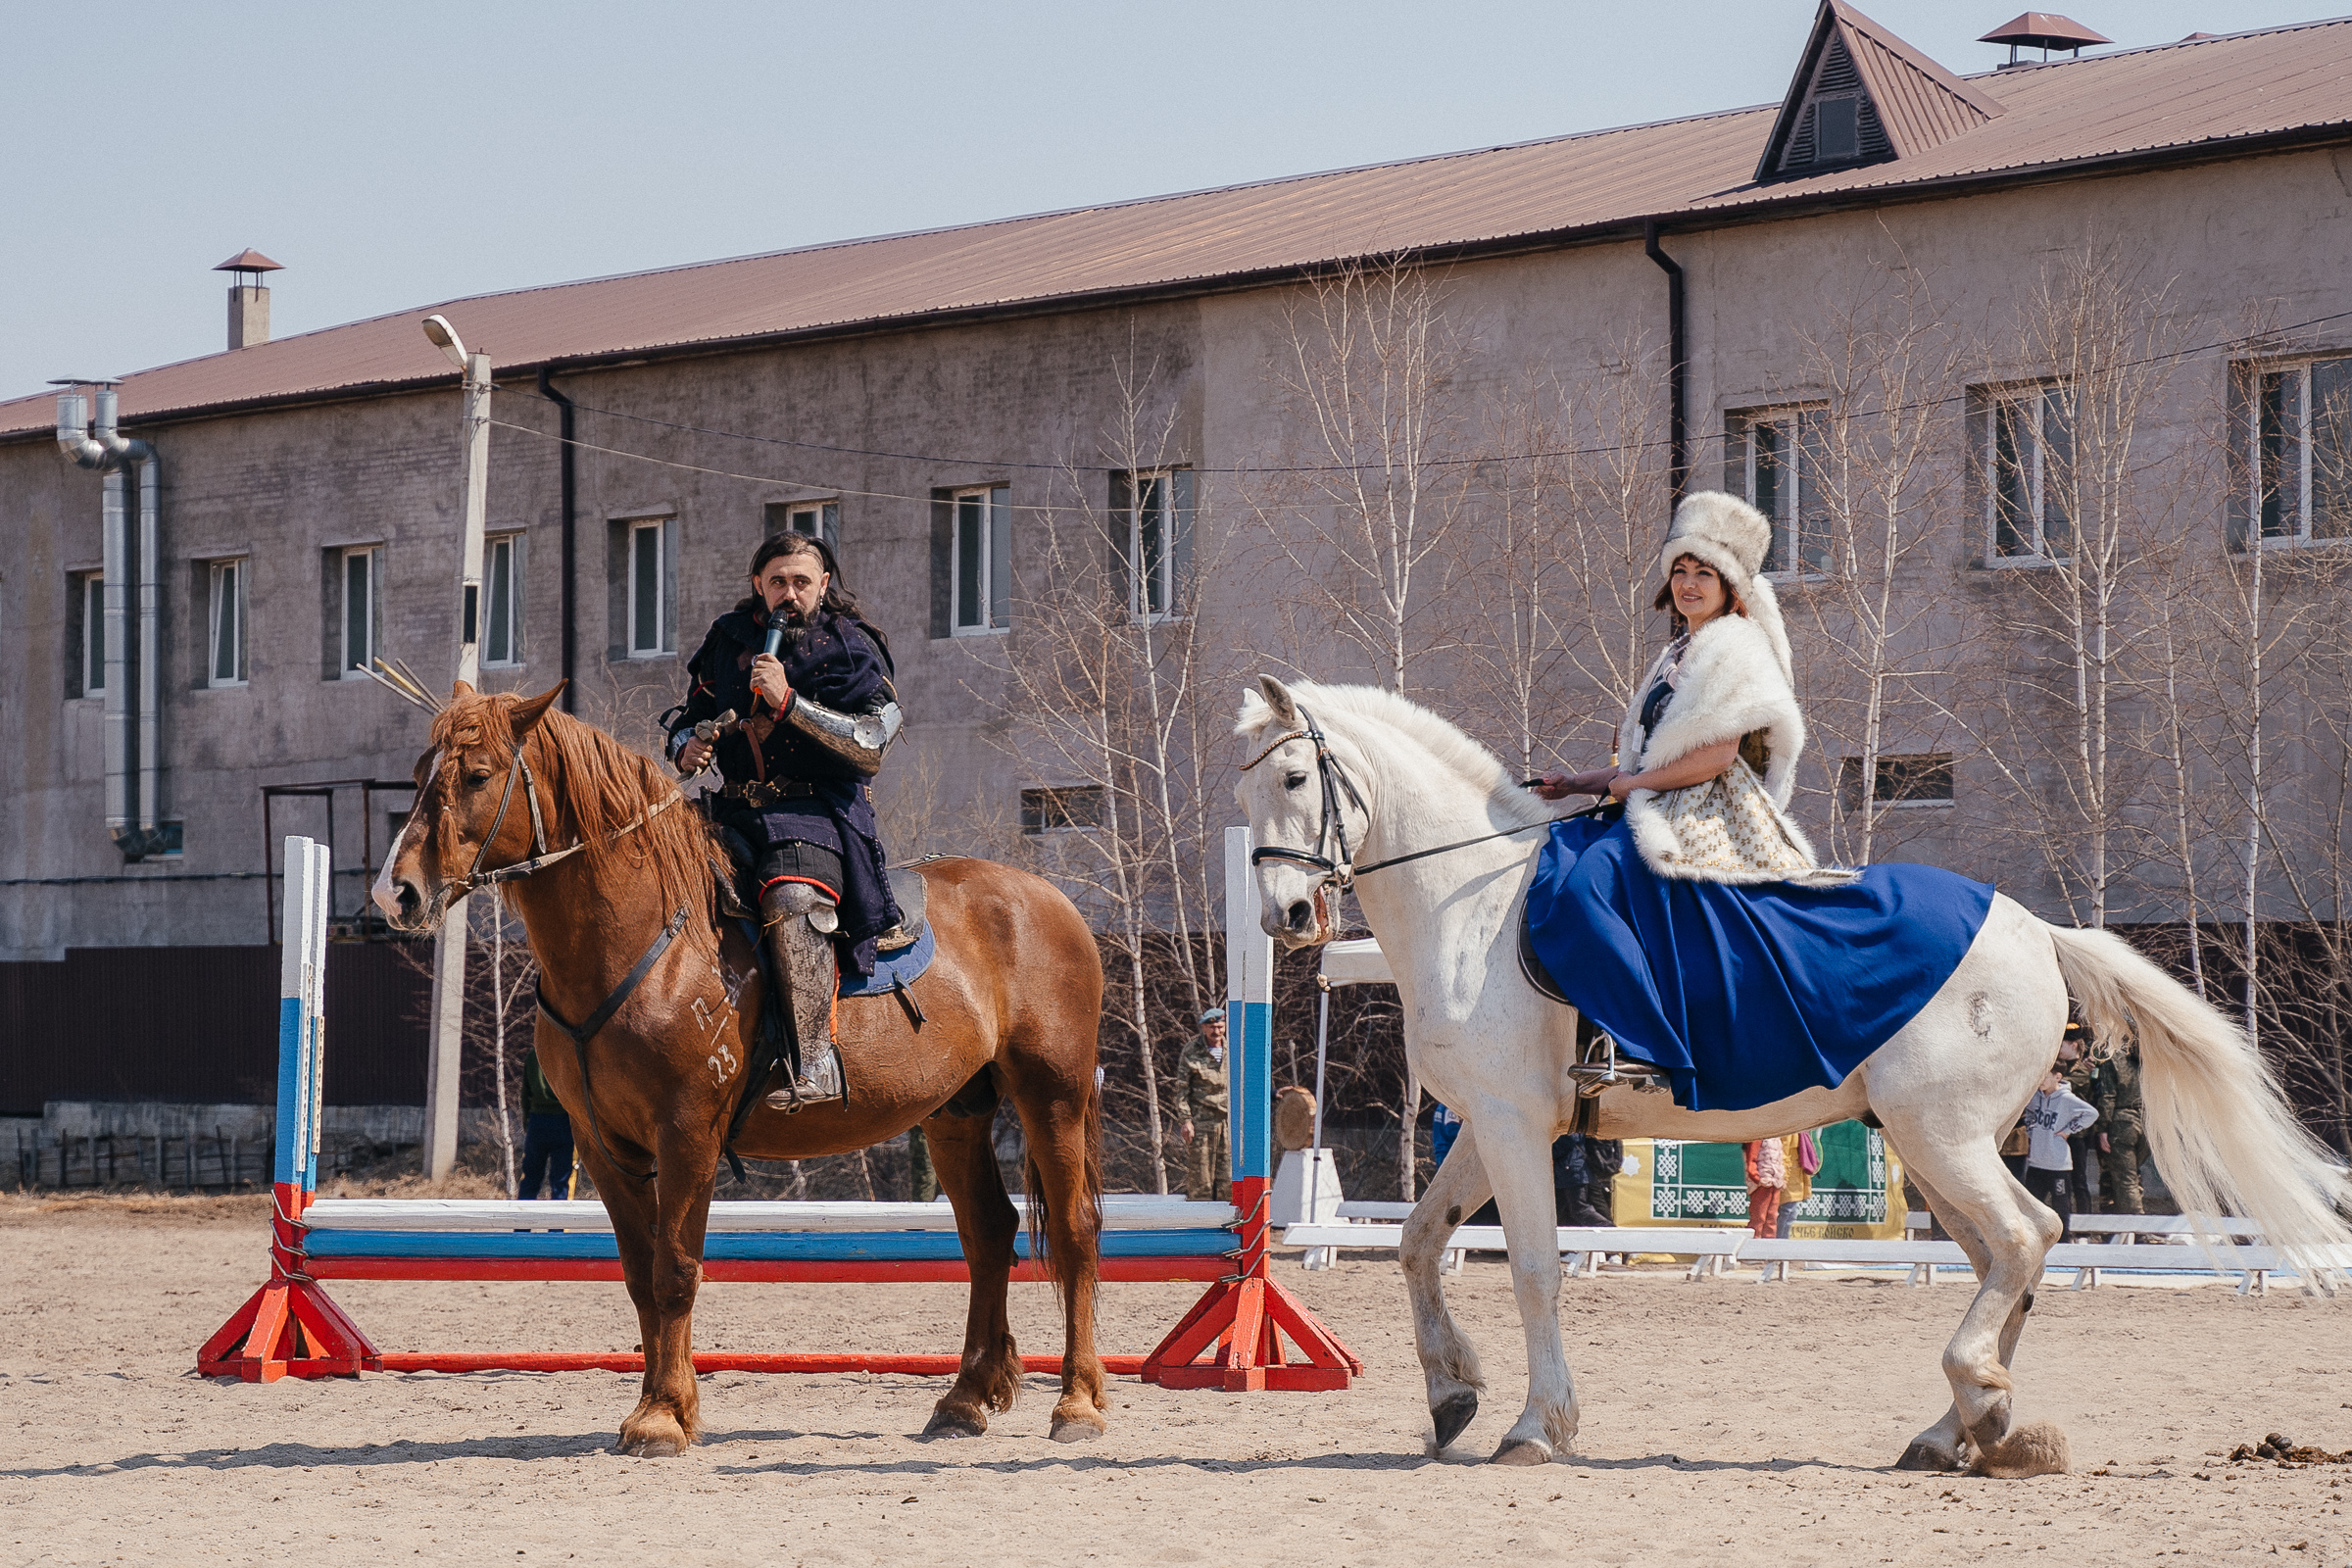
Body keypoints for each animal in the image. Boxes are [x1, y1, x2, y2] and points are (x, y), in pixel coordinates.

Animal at [371, 686, 1105, 1457]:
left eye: (478, 774)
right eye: (419, 774)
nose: (398, 894)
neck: (648, 937)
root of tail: (1048, 900)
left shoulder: (687, 1135)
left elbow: (674, 1271)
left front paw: (663, 1415)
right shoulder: (604, 1148)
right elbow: (640, 1276)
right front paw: (662, 1404)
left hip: (1052, 1097)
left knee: (1076, 1230)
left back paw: (1079, 1402)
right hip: (956, 1114)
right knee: (990, 1235)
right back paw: (964, 1398)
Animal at [1232, 681, 2352, 1476]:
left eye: (1293, 782)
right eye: (1247, 791)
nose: (1283, 918)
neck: (1472, 901)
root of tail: (2034, 926)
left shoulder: (1514, 1126)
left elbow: (1536, 1270)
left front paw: (1537, 1424)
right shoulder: (1489, 1122)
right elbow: (1420, 1242)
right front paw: (1449, 1396)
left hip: (1939, 1132)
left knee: (2026, 1235)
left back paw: (1981, 1406)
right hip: (1936, 1142)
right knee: (2010, 1251)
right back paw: (1960, 1430)